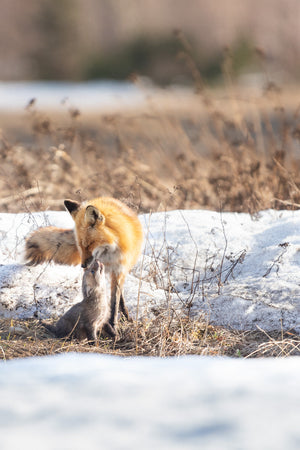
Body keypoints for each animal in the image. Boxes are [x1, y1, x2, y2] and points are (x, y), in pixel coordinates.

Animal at [25, 197, 144, 330]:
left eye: (88, 244)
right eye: (79, 246)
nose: (83, 266)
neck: (108, 255)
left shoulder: (119, 270)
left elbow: (114, 302)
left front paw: (113, 324)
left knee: (119, 295)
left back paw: (125, 316)